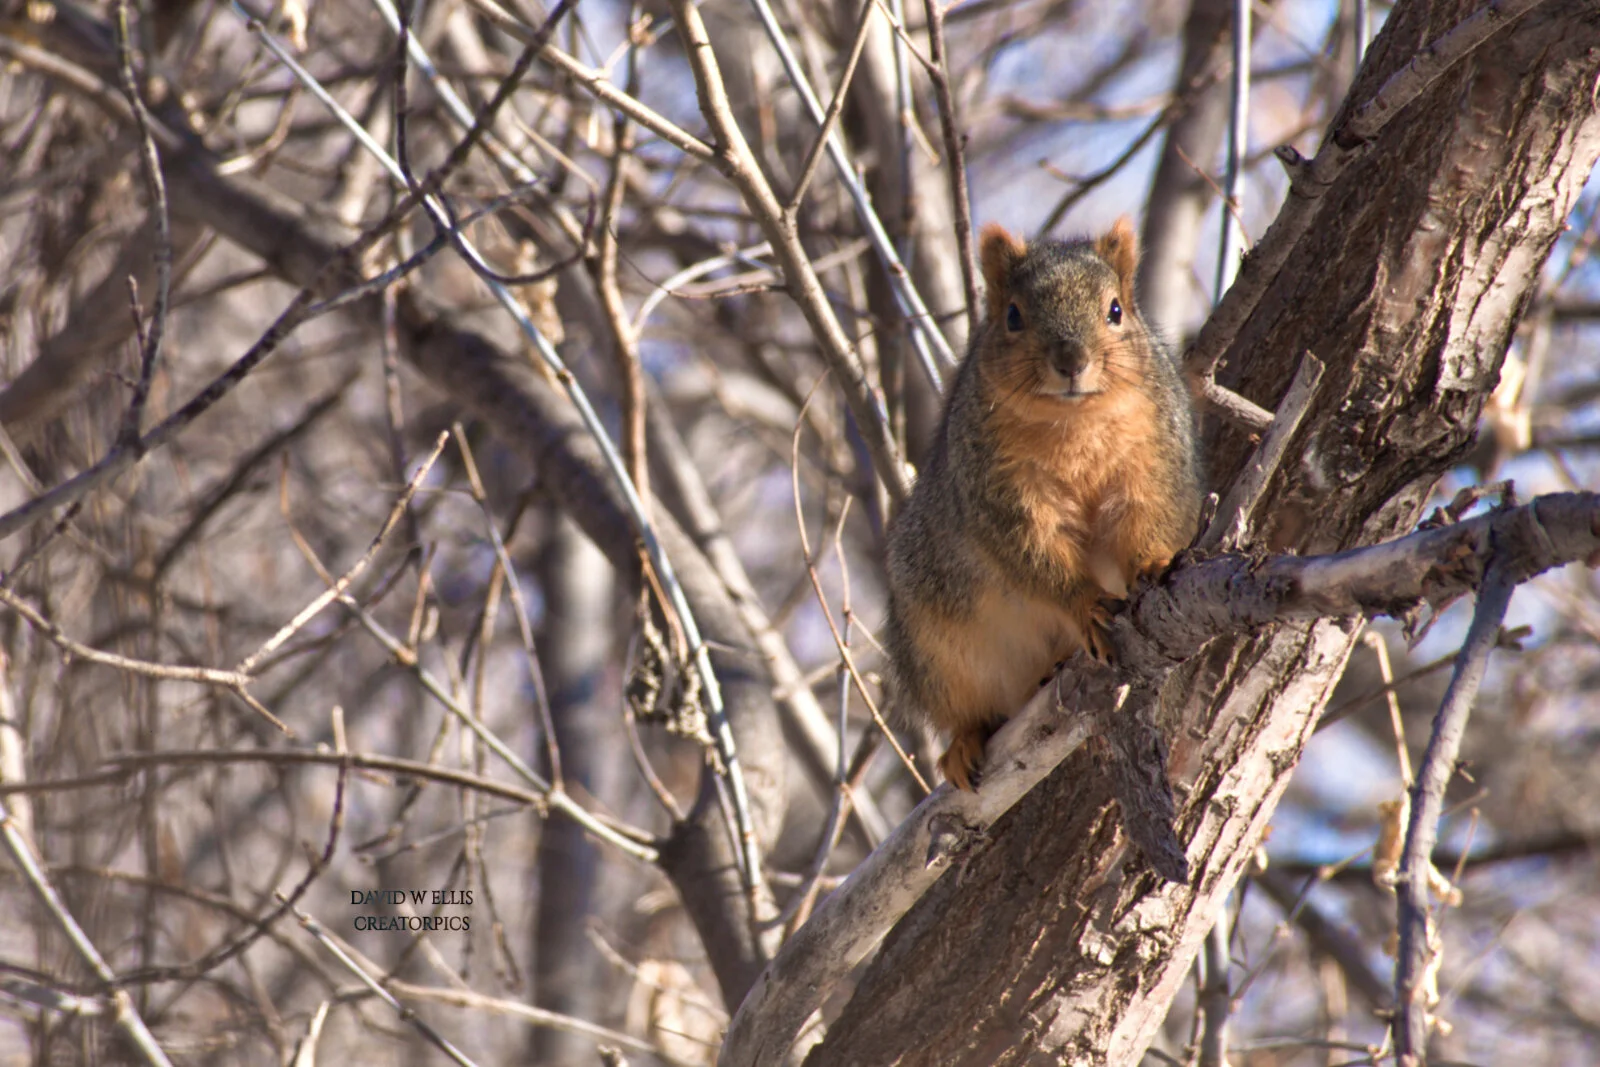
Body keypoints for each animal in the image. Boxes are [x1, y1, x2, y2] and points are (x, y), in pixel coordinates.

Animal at [884, 217, 1201, 792]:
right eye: (1012, 315)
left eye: (1116, 310)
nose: (1071, 361)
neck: (1074, 423)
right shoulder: (998, 492)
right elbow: (1033, 555)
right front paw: (1084, 604)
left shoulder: (1155, 463)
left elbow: (1148, 517)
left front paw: (1153, 561)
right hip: (933, 647)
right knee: (967, 710)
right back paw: (964, 743)